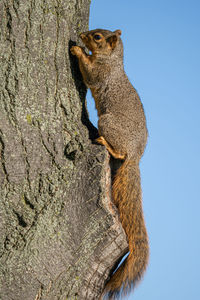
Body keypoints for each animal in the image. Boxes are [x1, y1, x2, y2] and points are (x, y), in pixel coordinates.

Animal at [71, 29, 149, 298]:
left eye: (97, 37)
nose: (81, 34)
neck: (112, 60)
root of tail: (136, 155)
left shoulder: (100, 74)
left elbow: (90, 74)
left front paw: (78, 51)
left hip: (107, 122)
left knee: (120, 153)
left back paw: (107, 143)